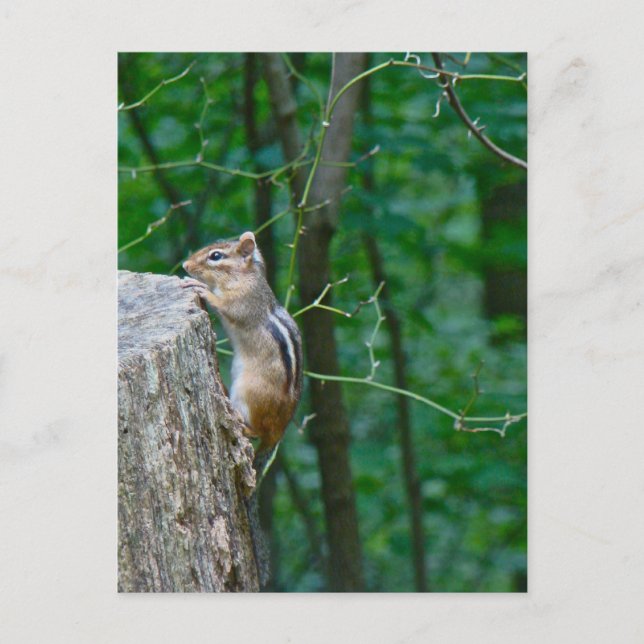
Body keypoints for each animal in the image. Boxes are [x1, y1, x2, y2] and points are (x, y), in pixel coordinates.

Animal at [181, 231, 302, 587]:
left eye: (216, 256)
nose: (186, 265)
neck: (247, 277)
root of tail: (278, 435)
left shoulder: (241, 303)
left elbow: (224, 305)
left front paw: (198, 288)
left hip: (249, 391)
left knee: (252, 430)